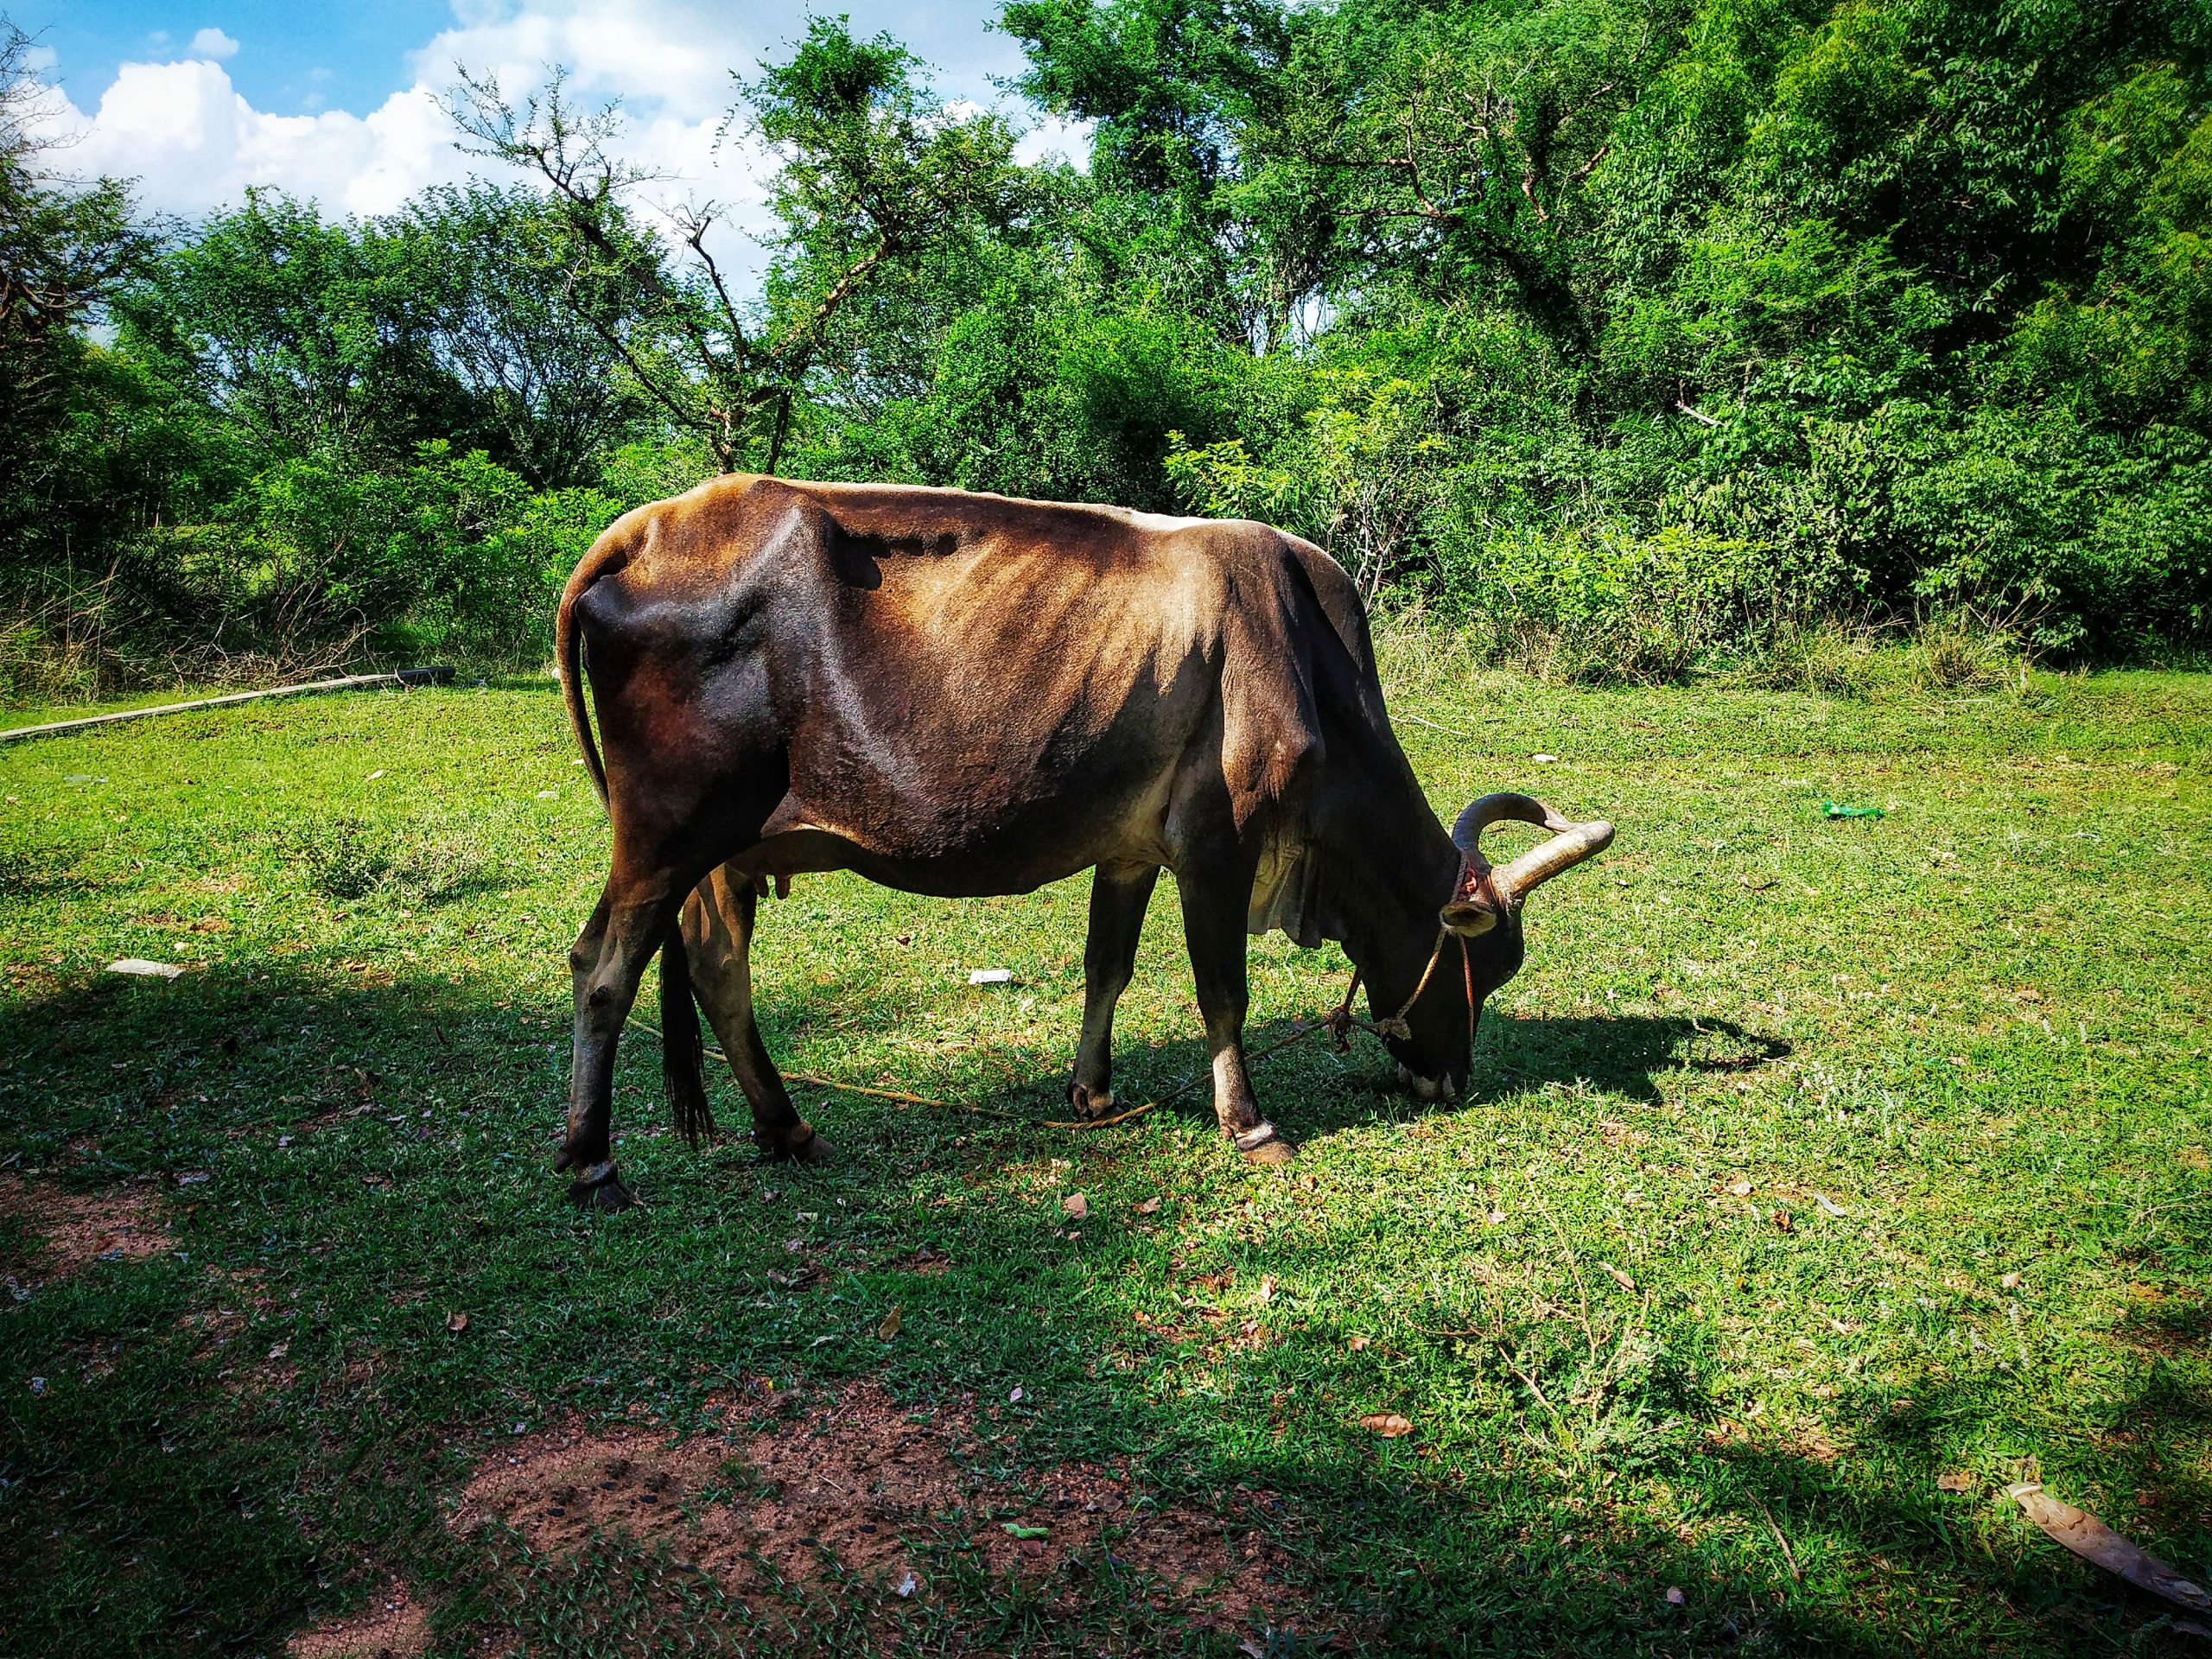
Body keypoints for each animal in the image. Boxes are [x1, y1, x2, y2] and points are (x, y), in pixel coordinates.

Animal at [543, 473, 1601, 1203]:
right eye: (1486, 965)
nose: (1449, 1082)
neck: (1306, 659)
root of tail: (645, 528)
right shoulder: (1218, 845)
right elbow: (1223, 990)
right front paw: (1248, 1123)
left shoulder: (1130, 850)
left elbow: (1109, 967)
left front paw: (1090, 1092)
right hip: (666, 834)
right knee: (603, 968)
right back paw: (593, 1161)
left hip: (723, 853)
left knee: (718, 973)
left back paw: (789, 1129)